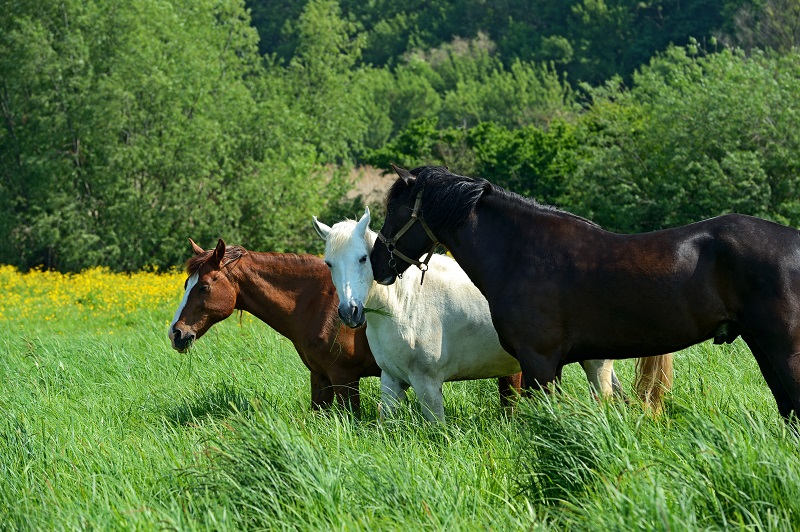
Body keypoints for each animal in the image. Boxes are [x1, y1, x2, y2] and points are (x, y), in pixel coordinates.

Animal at [168, 238, 380, 413]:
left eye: (204, 287)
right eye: (186, 284)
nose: (176, 333)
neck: (322, 302)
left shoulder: (344, 377)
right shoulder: (320, 376)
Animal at [314, 209, 671, 421]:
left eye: (363, 258)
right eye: (329, 263)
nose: (350, 312)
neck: (403, 304)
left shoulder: (428, 384)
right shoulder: (392, 382)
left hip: (595, 363)